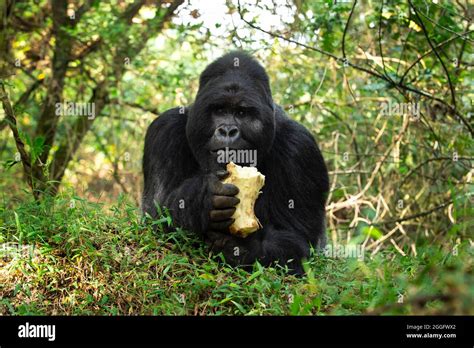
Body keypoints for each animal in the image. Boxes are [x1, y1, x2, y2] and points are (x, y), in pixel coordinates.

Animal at [142, 51, 330, 274]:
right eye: (220, 110)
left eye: (242, 113)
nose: (227, 130)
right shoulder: (164, 130)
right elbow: (154, 223)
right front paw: (201, 199)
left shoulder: (300, 147)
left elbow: (299, 246)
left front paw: (244, 247)